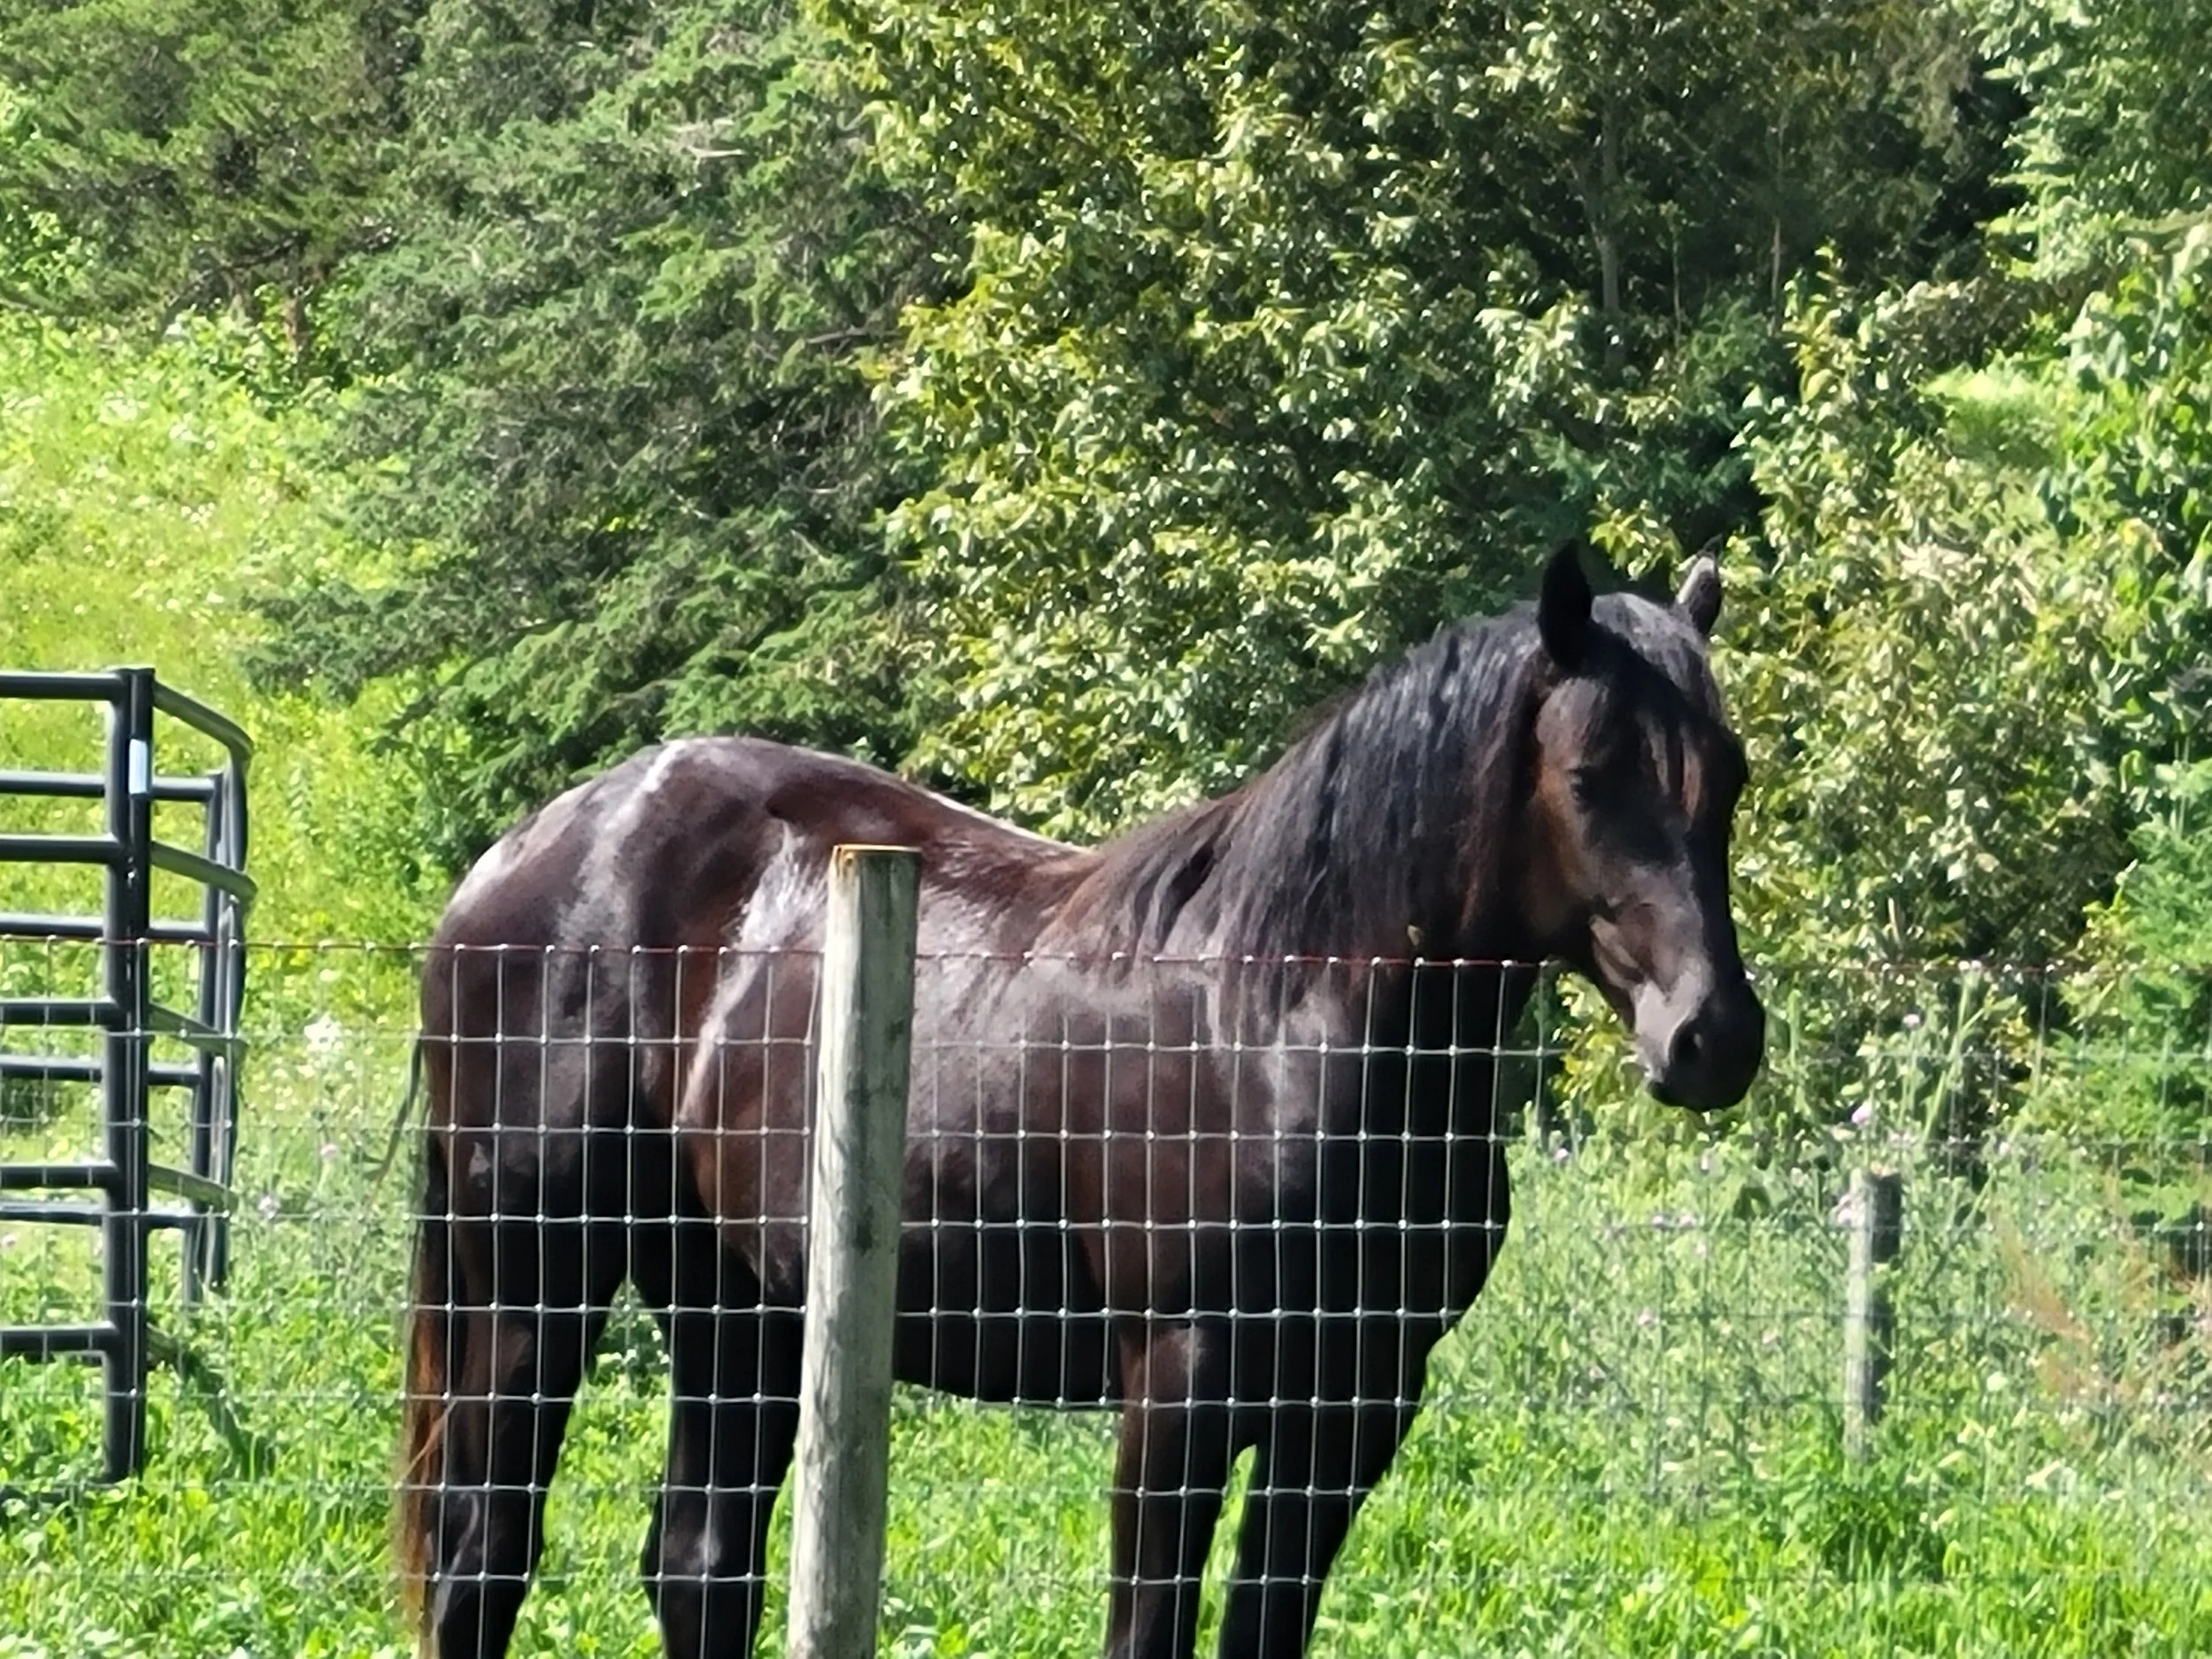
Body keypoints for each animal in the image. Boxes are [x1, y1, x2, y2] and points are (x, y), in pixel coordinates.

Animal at [395, 547, 1765, 1659]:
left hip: (732, 1302)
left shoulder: (1356, 1402)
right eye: (1588, 776)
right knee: (485, 1556)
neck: (1287, 1015)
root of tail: (518, 858)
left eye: (1731, 774)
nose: (1712, 1037)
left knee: (697, 1565)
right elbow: (1148, 1628)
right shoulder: (1182, 1381)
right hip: (535, 1277)